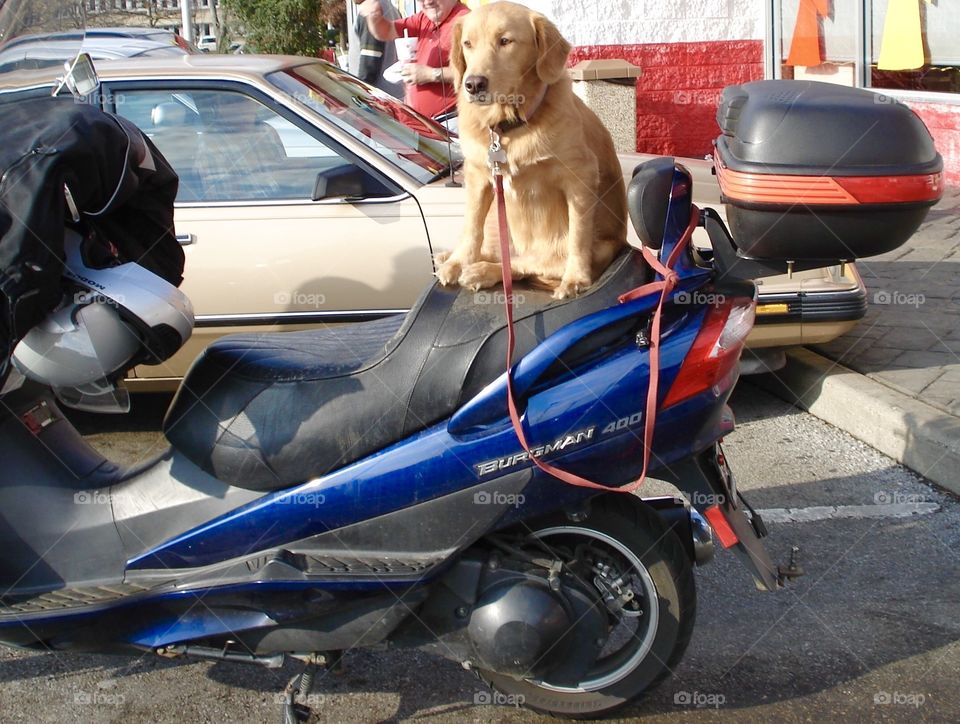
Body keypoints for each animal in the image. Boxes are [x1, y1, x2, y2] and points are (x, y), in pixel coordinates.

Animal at [436, 0, 632, 300]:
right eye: (467, 43)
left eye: (505, 41)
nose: (473, 84)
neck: (508, 127)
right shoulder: (479, 174)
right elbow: (471, 225)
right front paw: (458, 261)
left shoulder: (581, 176)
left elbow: (577, 236)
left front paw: (575, 278)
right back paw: (456, 260)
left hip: (596, 247)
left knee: (526, 264)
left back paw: (481, 271)